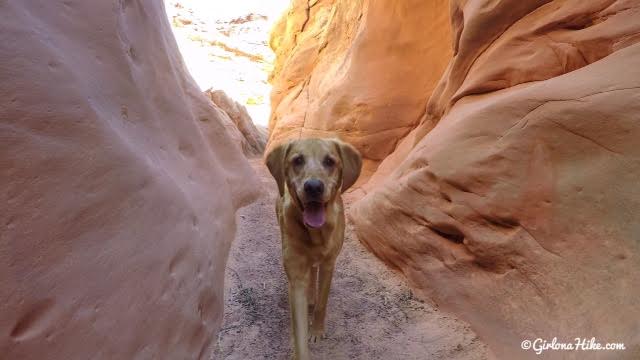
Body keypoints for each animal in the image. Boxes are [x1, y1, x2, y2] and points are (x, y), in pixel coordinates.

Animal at [264, 139, 360, 360]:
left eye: (330, 161)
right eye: (297, 160)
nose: (314, 187)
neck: (316, 233)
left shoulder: (329, 264)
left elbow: (322, 304)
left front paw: (316, 330)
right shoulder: (296, 276)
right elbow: (299, 332)